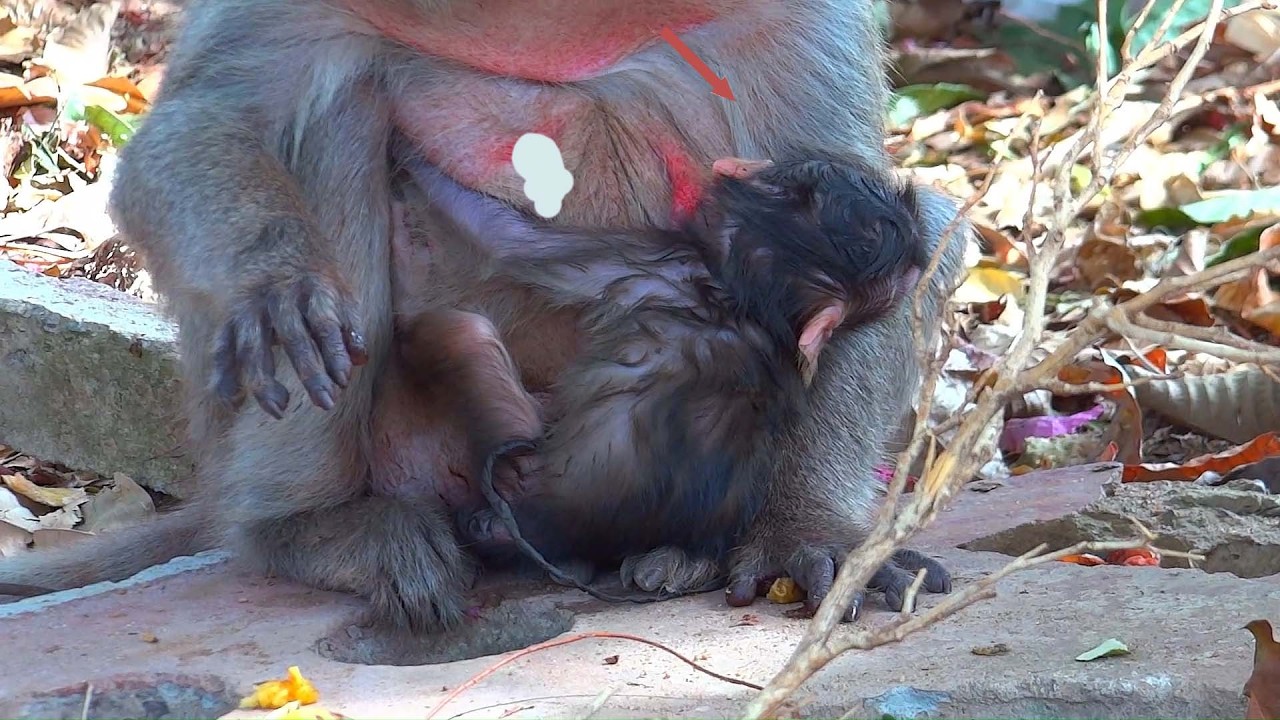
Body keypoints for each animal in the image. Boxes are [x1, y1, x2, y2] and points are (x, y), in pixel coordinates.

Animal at [0, 0, 969, 628]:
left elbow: (901, 225)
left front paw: (807, 531)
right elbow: (197, 129)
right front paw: (273, 281)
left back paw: (685, 548)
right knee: (336, 112)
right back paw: (311, 526)